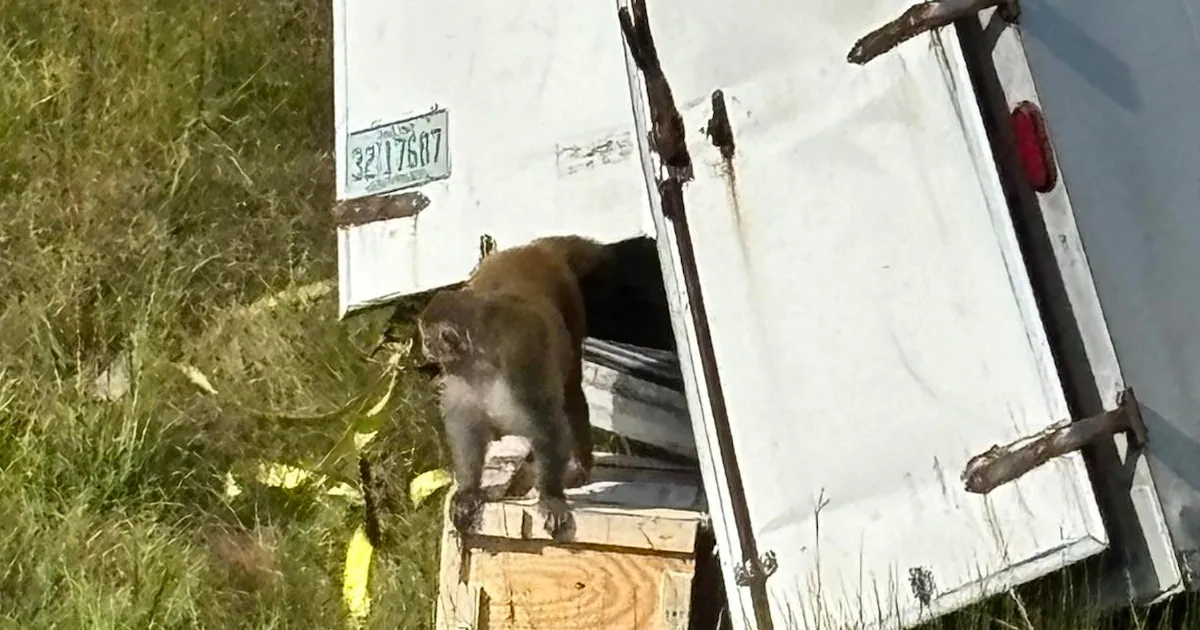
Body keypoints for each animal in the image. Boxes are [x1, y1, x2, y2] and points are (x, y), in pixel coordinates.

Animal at [417, 235, 614, 540]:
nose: (424, 348)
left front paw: (551, 496)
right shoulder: (459, 377)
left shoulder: (521, 360)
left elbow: (547, 423)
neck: (481, 361)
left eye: (428, 339)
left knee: (570, 391)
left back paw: (580, 465)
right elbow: (467, 428)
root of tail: (534, 249)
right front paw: (469, 490)